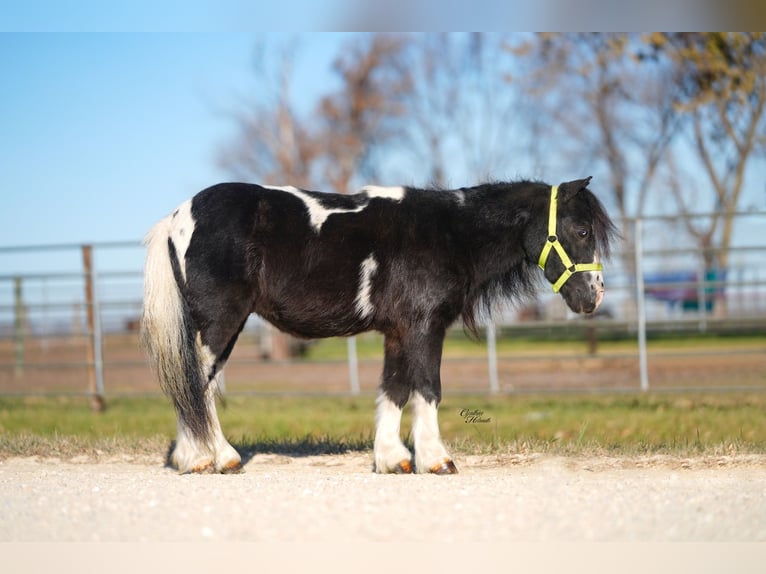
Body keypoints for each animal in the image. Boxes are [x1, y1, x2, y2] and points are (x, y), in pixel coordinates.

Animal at [140, 177, 617, 474]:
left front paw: (393, 459)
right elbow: (427, 388)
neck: (447, 233)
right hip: (220, 323)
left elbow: (394, 388)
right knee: (196, 386)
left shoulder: (398, 331)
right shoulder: (424, 326)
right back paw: (212, 458)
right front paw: (436, 459)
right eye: (580, 229)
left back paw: (200, 457)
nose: (593, 296)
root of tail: (177, 218)